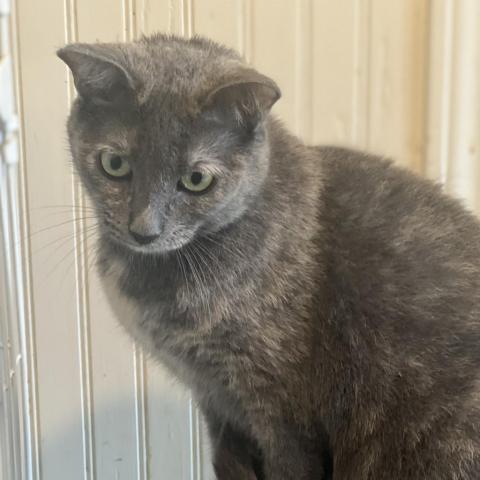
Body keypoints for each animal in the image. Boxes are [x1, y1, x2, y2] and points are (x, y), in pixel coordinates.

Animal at [58, 34, 480, 480]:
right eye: (114, 164)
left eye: (197, 179)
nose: (143, 229)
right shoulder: (217, 403)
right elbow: (229, 463)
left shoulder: (282, 408)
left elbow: (289, 465)